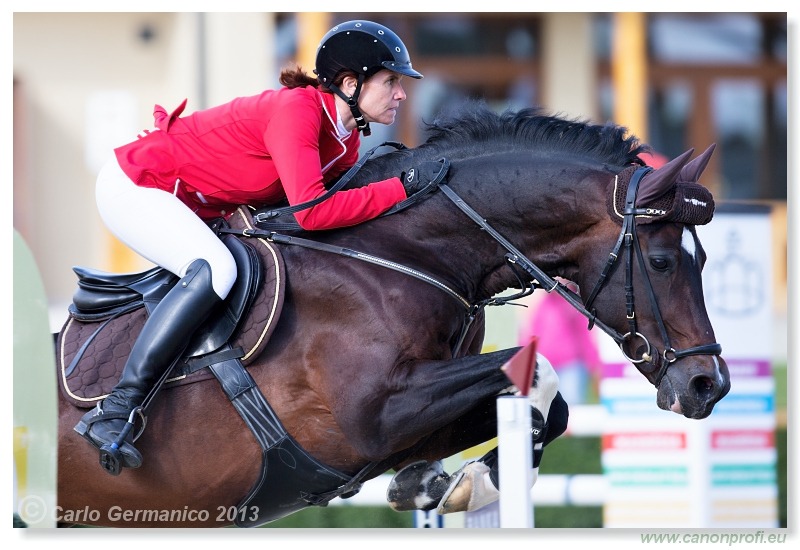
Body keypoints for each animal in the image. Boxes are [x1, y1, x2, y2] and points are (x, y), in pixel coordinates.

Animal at [54, 101, 732, 528]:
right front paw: (471, 483)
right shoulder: (373, 414)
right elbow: (538, 373)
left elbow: (551, 406)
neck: (407, 253)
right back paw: (112, 426)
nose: (709, 386)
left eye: (702, 259)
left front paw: (432, 486)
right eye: (664, 261)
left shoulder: (405, 426)